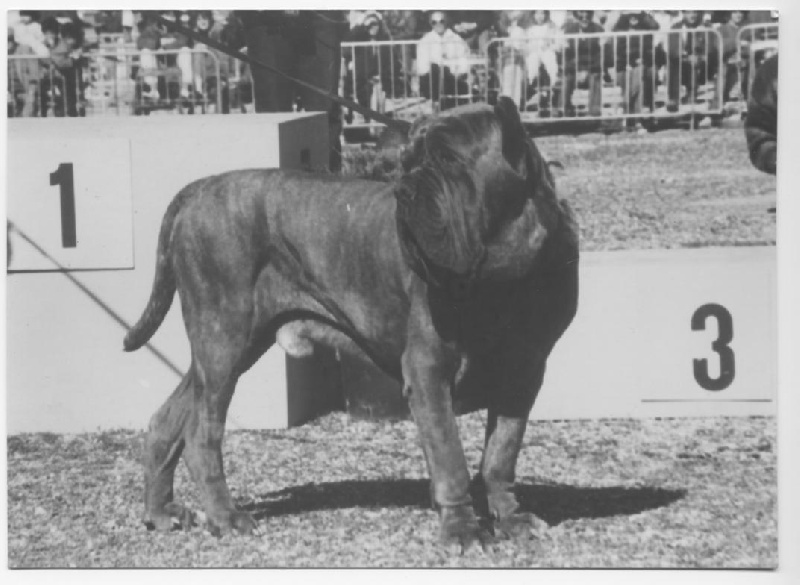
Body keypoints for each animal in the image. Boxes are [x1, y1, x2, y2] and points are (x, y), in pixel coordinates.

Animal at [123, 98, 576, 548]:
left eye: (449, 158)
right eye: (407, 162)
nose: (404, 189)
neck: (502, 277)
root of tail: (198, 189)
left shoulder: (524, 374)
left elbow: (501, 453)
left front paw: (511, 517)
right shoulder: (428, 371)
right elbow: (452, 459)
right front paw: (462, 529)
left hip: (231, 348)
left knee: (169, 420)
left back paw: (161, 512)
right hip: (223, 342)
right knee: (202, 434)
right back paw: (225, 516)